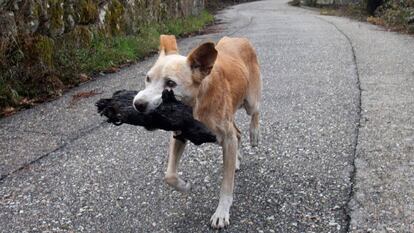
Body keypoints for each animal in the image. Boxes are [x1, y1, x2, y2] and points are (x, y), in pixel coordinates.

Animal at [133, 35, 262, 229]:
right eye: (148, 78)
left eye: (170, 83)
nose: (138, 104)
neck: (196, 104)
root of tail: (238, 38)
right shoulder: (178, 135)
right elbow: (169, 175)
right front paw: (184, 186)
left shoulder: (227, 138)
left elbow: (226, 184)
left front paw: (221, 212)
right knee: (238, 133)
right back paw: (236, 160)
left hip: (250, 101)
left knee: (255, 111)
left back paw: (254, 134)